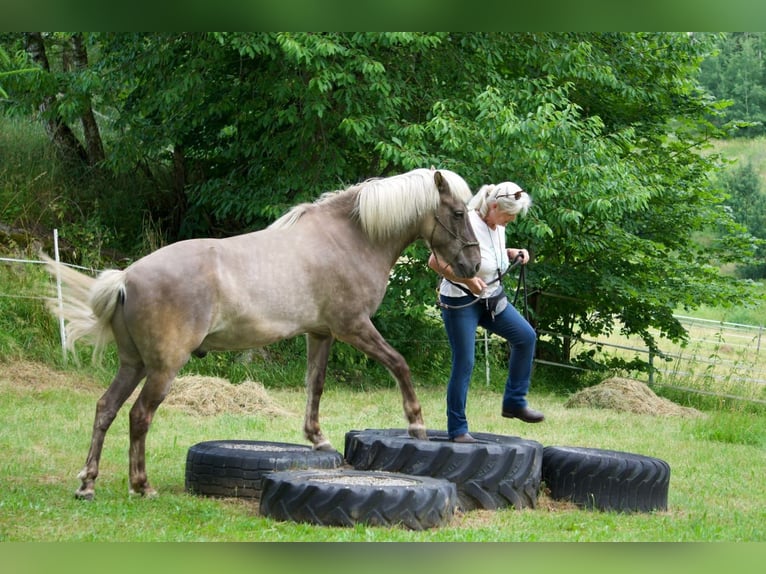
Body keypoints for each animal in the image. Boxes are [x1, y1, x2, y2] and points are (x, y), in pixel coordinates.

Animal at [44, 167, 481, 500]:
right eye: (458, 213)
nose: (474, 265)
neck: (349, 238)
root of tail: (126, 278)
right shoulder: (353, 327)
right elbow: (399, 364)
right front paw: (416, 425)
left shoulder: (321, 334)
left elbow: (315, 384)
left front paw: (318, 439)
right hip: (163, 368)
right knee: (139, 415)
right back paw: (142, 485)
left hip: (133, 364)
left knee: (106, 409)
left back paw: (87, 485)